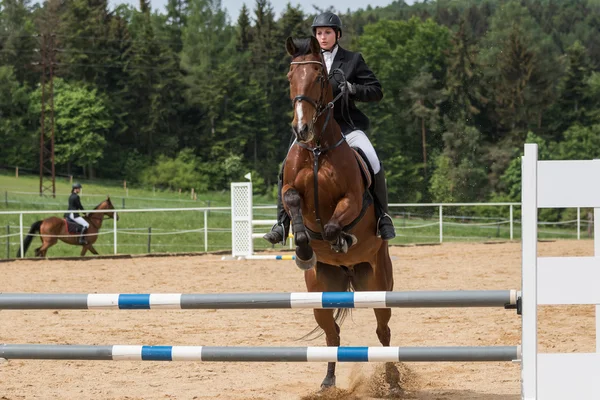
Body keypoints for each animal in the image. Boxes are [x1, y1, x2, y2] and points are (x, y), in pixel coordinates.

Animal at [284, 35, 400, 394]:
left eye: (320, 78)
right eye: (290, 78)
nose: (302, 128)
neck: (318, 148)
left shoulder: (350, 198)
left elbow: (336, 222)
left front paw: (342, 239)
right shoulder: (292, 191)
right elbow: (292, 202)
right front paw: (303, 248)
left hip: (378, 283)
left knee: (383, 333)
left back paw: (393, 381)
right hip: (319, 292)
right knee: (331, 335)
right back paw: (328, 381)